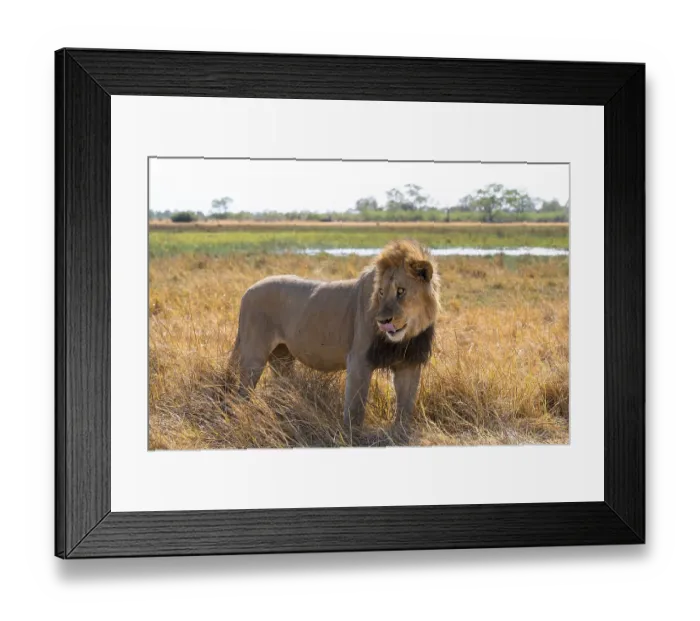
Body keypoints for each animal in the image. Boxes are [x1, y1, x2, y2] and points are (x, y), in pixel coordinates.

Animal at [228, 240, 440, 438]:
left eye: (401, 291)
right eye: (381, 292)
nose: (382, 321)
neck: (405, 337)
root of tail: (247, 291)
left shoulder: (409, 363)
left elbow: (405, 406)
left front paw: (400, 434)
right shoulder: (359, 359)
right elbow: (355, 407)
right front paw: (352, 436)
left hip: (282, 357)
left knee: (282, 387)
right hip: (254, 355)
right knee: (242, 393)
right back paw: (241, 416)